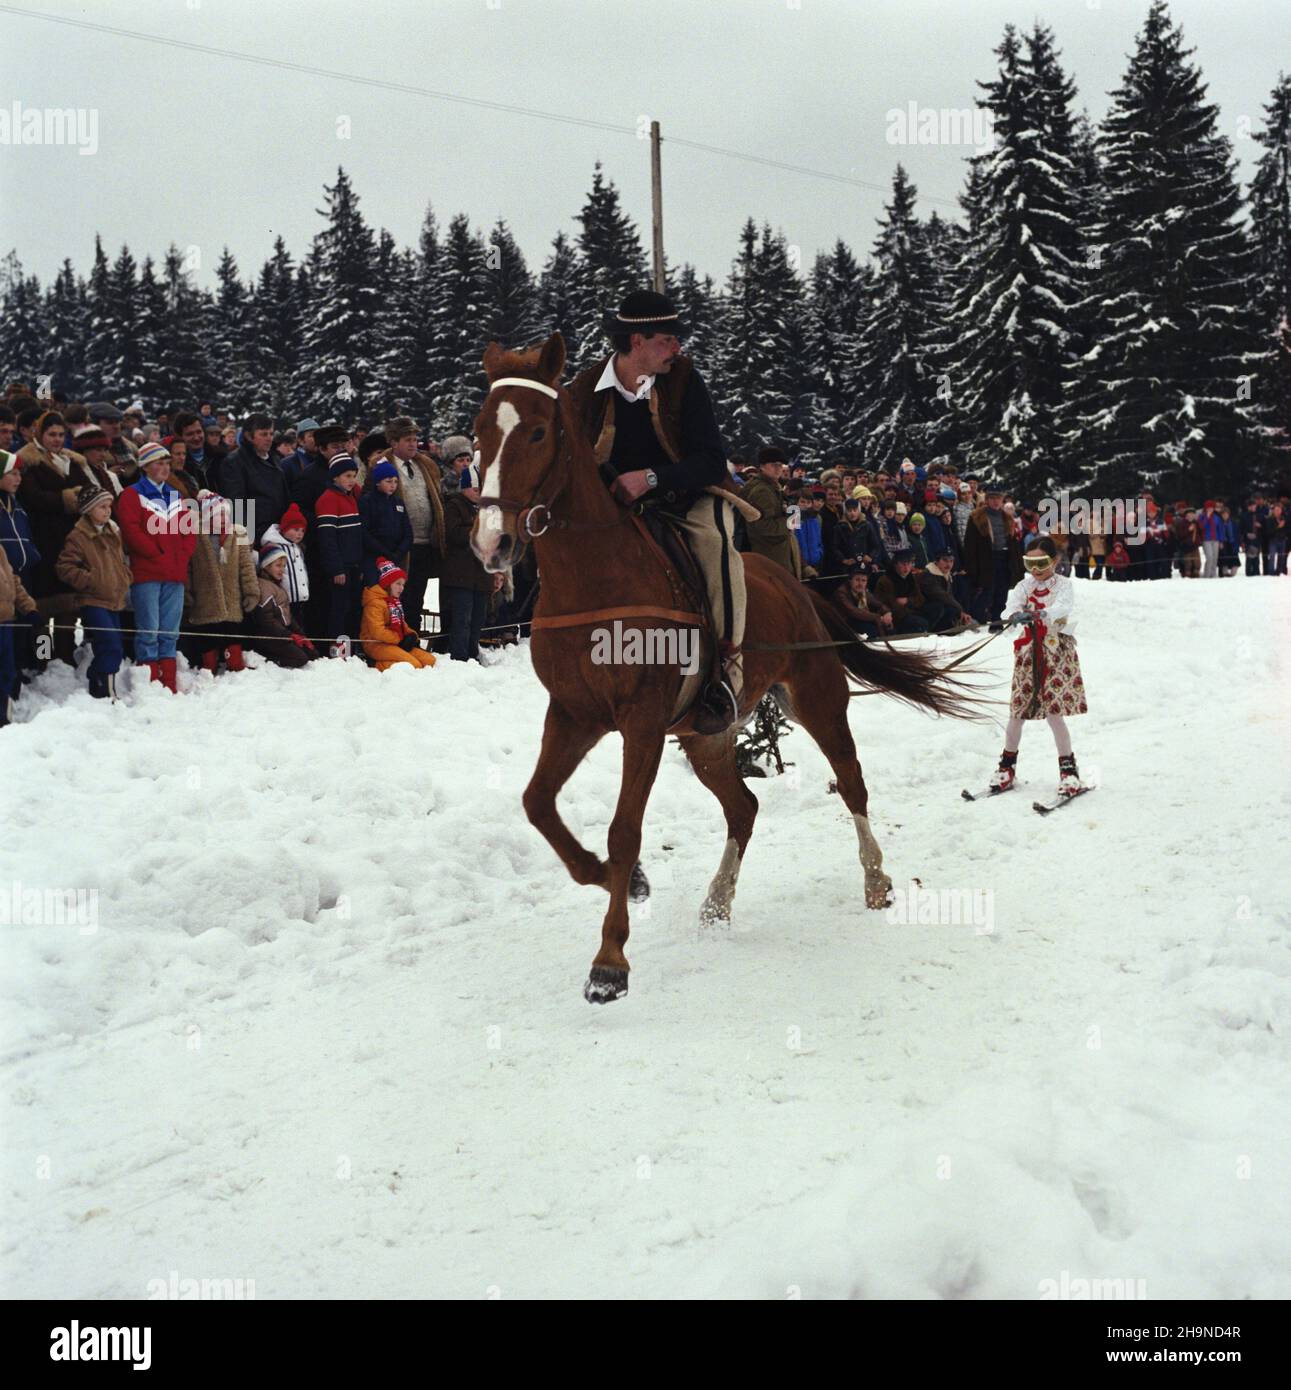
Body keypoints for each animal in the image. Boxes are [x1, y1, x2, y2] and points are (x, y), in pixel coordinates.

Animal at [475, 332, 989, 1000]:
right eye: (479, 431)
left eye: (537, 431)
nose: (492, 544)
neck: (595, 576)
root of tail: (796, 585)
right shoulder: (573, 714)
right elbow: (537, 803)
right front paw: (619, 878)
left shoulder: (641, 721)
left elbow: (623, 829)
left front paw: (610, 959)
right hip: (706, 736)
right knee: (743, 807)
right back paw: (717, 902)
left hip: (816, 699)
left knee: (851, 782)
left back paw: (876, 881)